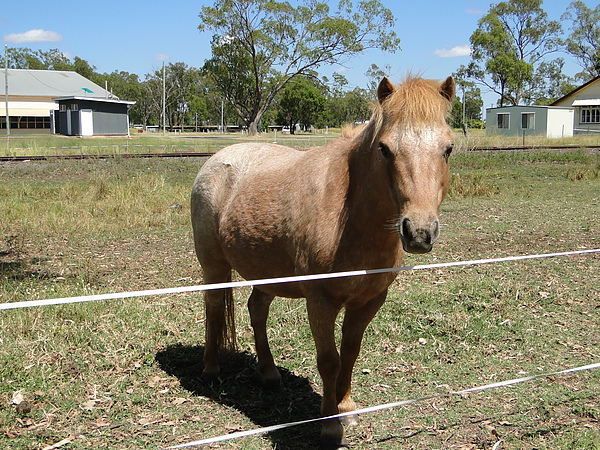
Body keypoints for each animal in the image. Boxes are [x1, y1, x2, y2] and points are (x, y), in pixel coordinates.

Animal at [191, 74, 454, 446]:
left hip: (266, 273)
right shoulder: (320, 301)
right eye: (385, 149)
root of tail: (218, 158)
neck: (350, 215)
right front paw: (330, 425)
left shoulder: (369, 301)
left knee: (257, 310)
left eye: (447, 149)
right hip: (214, 266)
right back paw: (211, 370)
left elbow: (350, 353)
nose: (419, 231)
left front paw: (346, 407)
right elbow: (329, 361)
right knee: (214, 309)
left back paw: (269, 374)